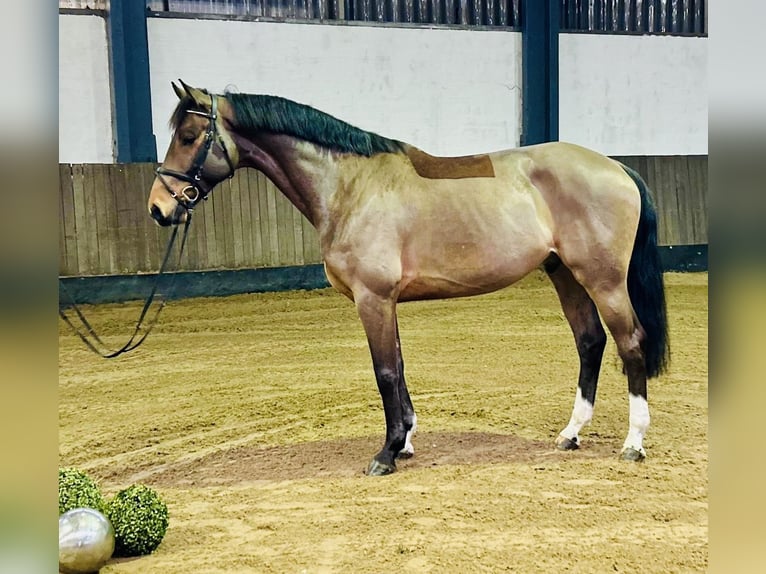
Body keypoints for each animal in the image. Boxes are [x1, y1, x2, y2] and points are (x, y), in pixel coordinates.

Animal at [150, 81, 672, 476]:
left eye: (191, 134)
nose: (159, 208)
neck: (350, 186)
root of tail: (617, 167)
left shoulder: (373, 298)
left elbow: (384, 372)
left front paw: (386, 454)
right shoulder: (386, 302)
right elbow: (398, 368)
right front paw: (404, 442)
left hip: (603, 280)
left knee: (629, 343)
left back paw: (633, 443)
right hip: (565, 274)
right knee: (590, 342)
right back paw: (570, 434)